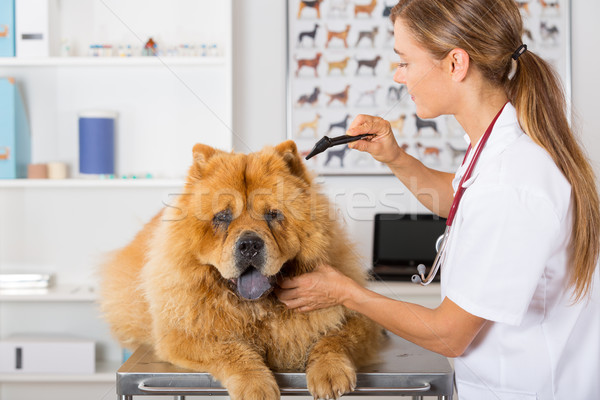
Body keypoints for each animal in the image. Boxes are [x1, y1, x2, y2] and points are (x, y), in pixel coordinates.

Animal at [98, 141, 380, 400]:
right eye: (223, 217)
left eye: (272, 214)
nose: (249, 245)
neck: (258, 309)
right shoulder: (184, 334)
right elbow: (230, 350)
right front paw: (256, 386)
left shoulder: (358, 318)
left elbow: (336, 338)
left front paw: (329, 372)